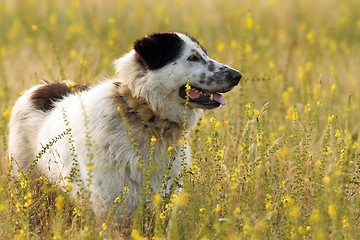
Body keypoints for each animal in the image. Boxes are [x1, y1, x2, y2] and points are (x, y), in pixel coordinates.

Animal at [7, 32, 242, 221]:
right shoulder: (111, 210)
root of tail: (41, 87)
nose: (237, 76)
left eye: (204, 54)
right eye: (192, 58)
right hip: (30, 183)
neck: (141, 113)